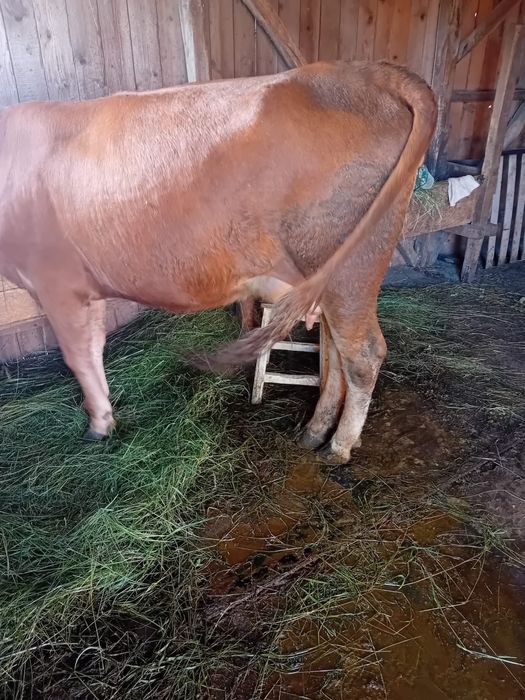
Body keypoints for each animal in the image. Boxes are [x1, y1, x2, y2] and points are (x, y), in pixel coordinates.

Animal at [0, 60, 436, 463]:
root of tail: (368, 71)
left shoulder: (56, 281)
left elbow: (79, 357)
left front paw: (98, 425)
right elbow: (94, 349)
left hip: (352, 269)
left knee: (362, 354)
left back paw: (339, 445)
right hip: (327, 275)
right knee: (334, 351)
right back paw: (314, 430)